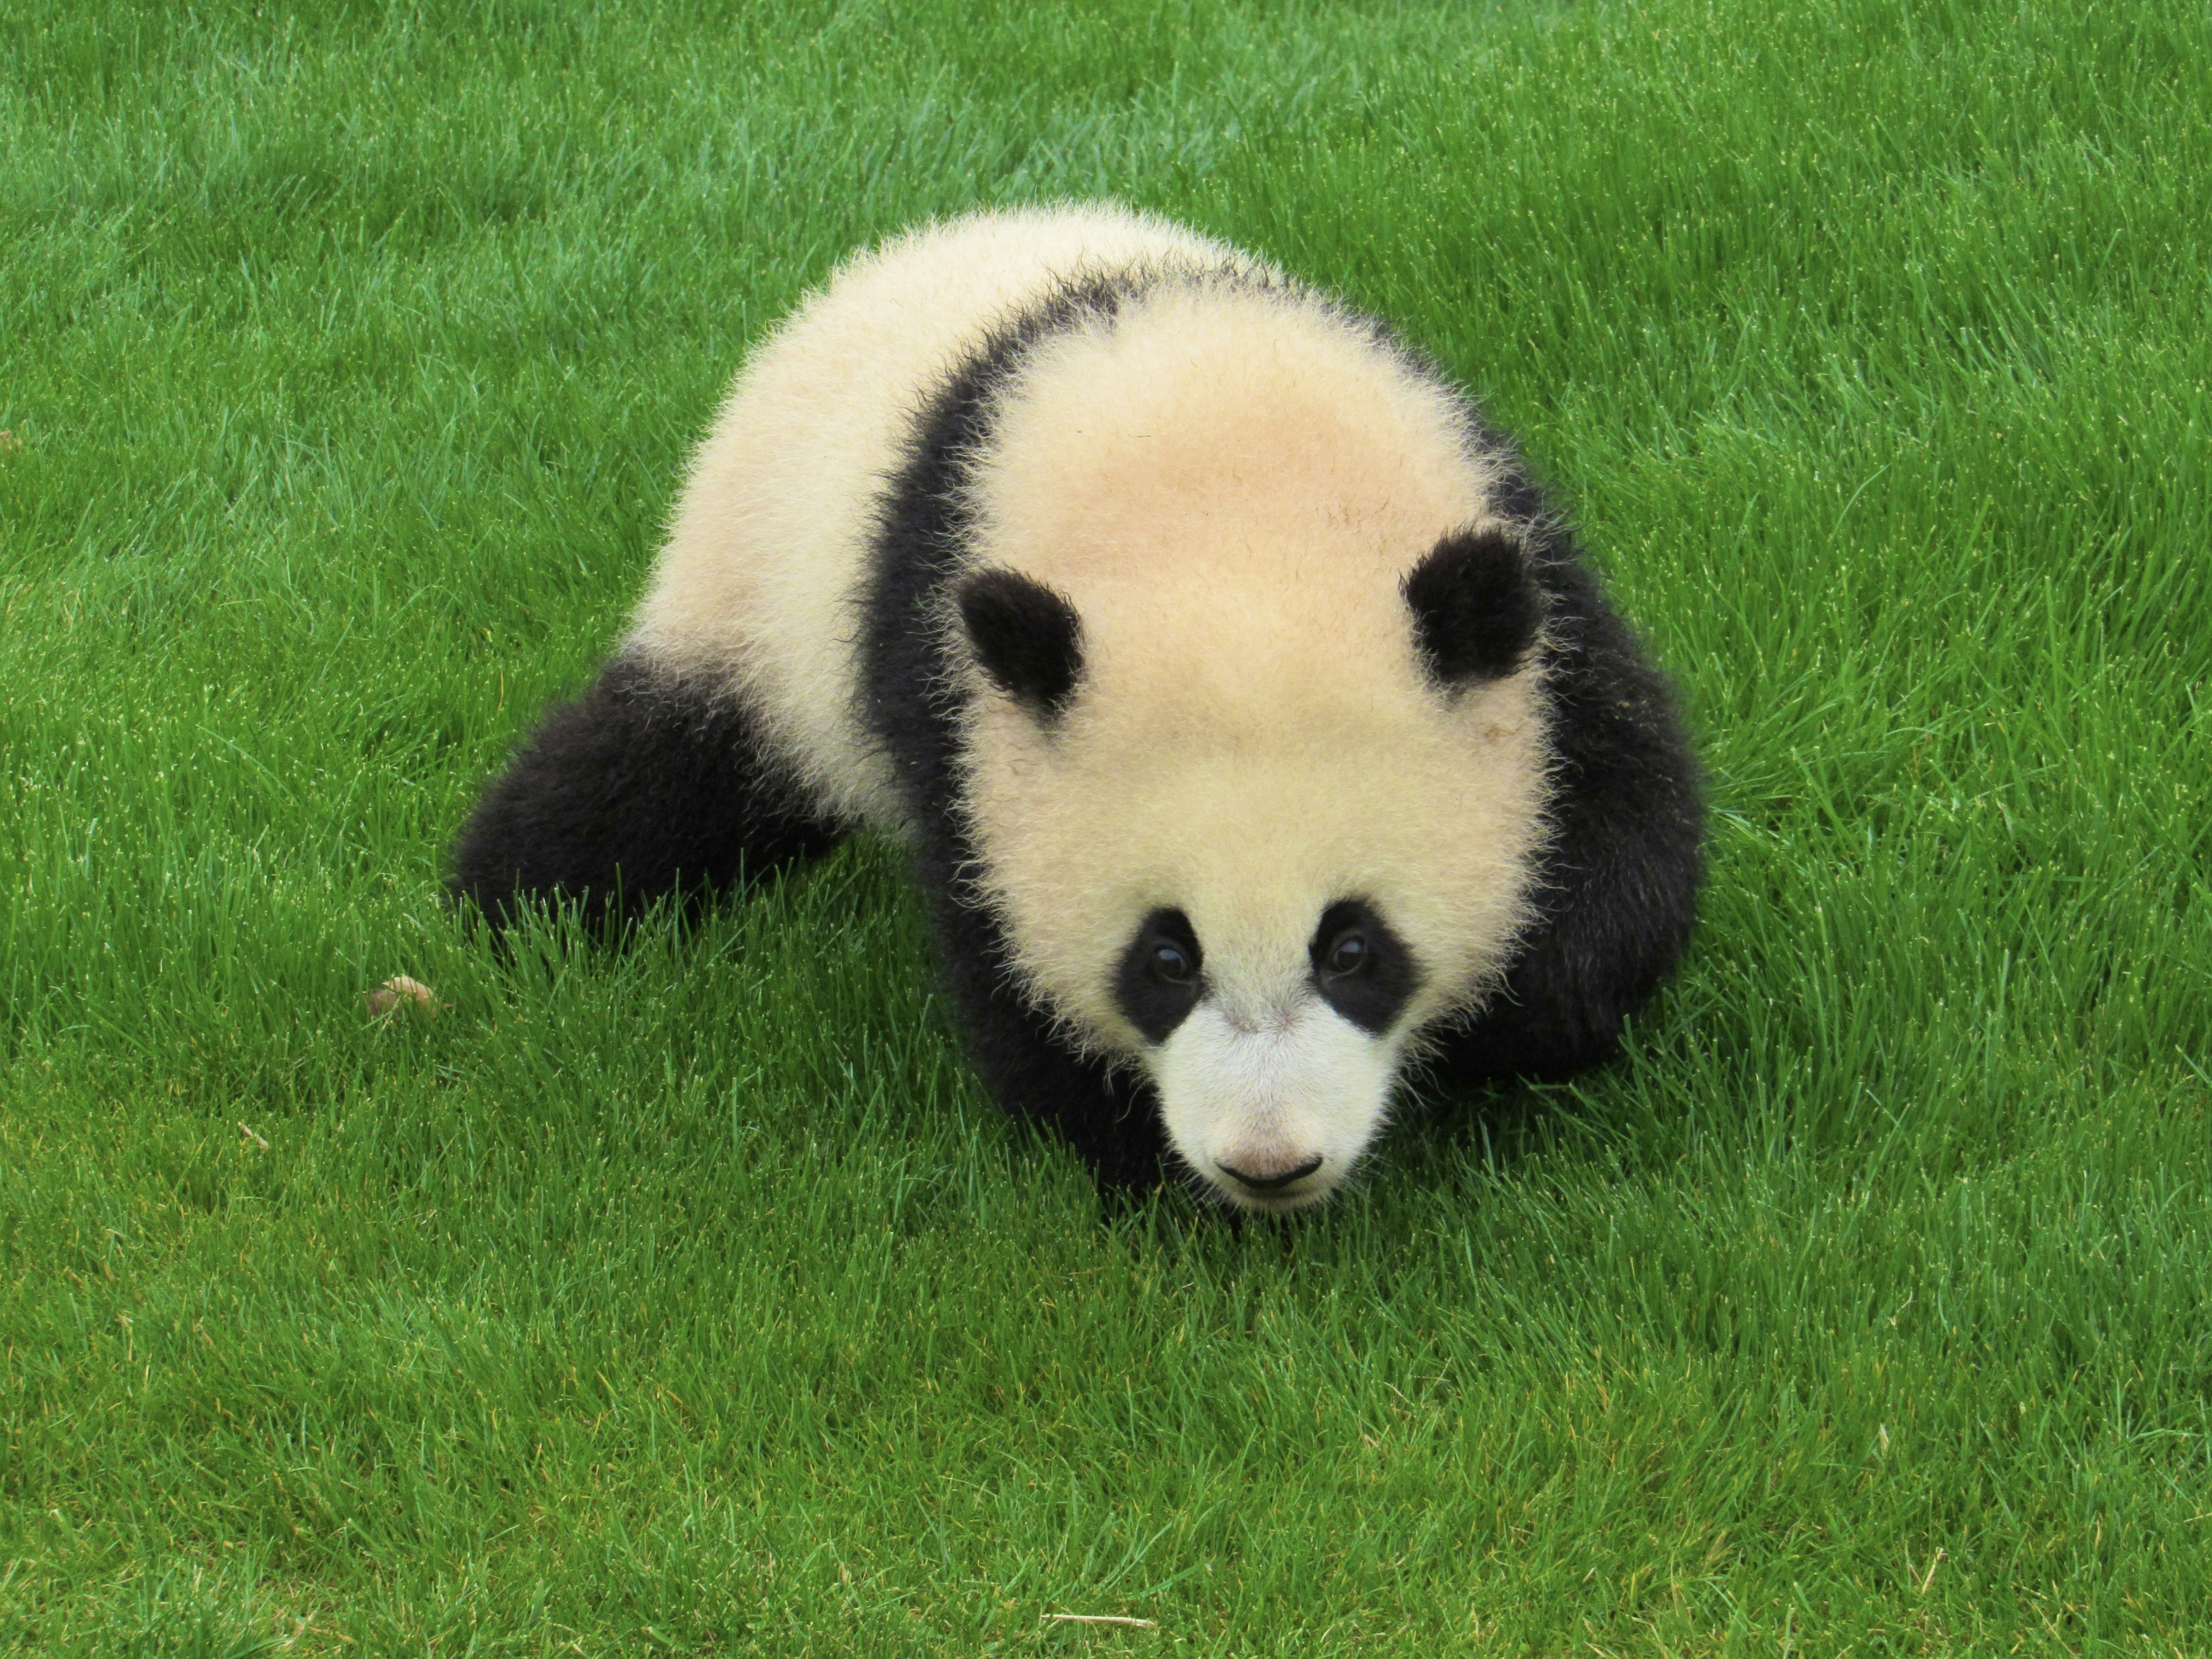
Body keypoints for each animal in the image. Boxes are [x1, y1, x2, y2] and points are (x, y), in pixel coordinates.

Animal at [444, 211, 1690, 1221]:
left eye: (1353, 947)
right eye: (1165, 958)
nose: (1270, 1163)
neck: (1239, 513)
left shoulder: (1530, 590)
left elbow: (1622, 836)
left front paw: (1513, 1021)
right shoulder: (952, 692)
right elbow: (1002, 946)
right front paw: (1149, 1165)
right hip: (757, 593)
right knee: (651, 773)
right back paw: (518, 901)